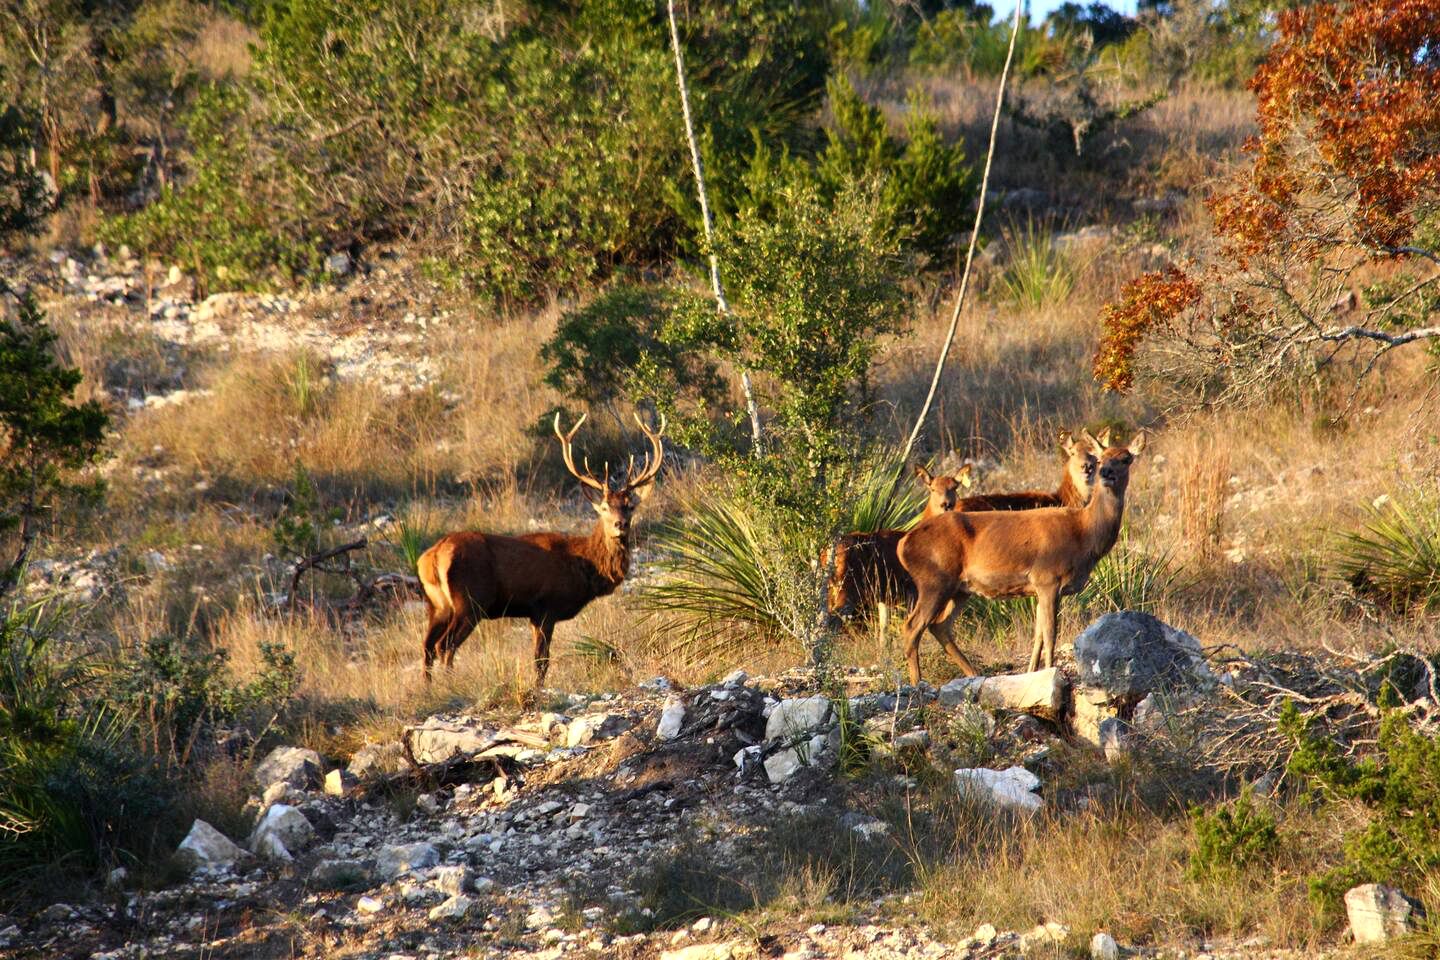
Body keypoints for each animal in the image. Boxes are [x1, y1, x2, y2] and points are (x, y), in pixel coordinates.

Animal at [414, 417, 665, 687]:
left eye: (630, 506)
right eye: (605, 507)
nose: (621, 524)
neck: (586, 567)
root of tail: (433, 557)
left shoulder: (535, 614)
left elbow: (539, 659)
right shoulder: (546, 606)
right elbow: (542, 660)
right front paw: (539, 689)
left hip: (438, 604)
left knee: (427, 645)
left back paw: (429, 689)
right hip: (470, 601)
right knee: (444, 646)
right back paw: (449, 685)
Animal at [829, 460, 973, 627]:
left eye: (954, 487)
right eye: (932, 488)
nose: (946, 505)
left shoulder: (886, 598)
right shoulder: (913, 589)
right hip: (847, 585)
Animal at [892, 428, 1140, 682]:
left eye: (1126, 459)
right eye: (1100, 459)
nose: (1104, 472)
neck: (1084, 533)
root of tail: (903, 543)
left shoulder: (1041, 587)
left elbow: (1038, 635)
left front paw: (1032, 672)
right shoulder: (1047, 578)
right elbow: (1050, 634)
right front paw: (1051, 672)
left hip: (959, 588)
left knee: (939, 625)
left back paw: (974, 673)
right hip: (934, 580)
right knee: (912, 627)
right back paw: (918, 682)